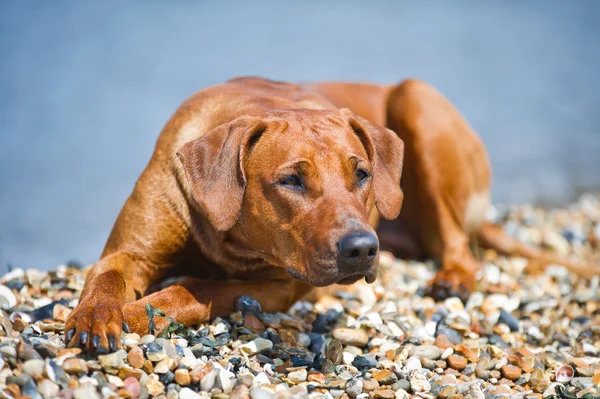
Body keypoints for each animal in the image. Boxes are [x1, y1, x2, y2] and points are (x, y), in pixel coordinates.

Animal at [67, 76, 596, 354]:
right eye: (291, 181)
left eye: (361, 174)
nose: (362, 249)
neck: (228, 236)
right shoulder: (128, 250)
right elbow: (107, 274)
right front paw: (97, 314)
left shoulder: (279, 285)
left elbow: (192, 288)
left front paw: (138, 311)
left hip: (416, 97)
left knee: (458, 243)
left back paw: (453, 278)